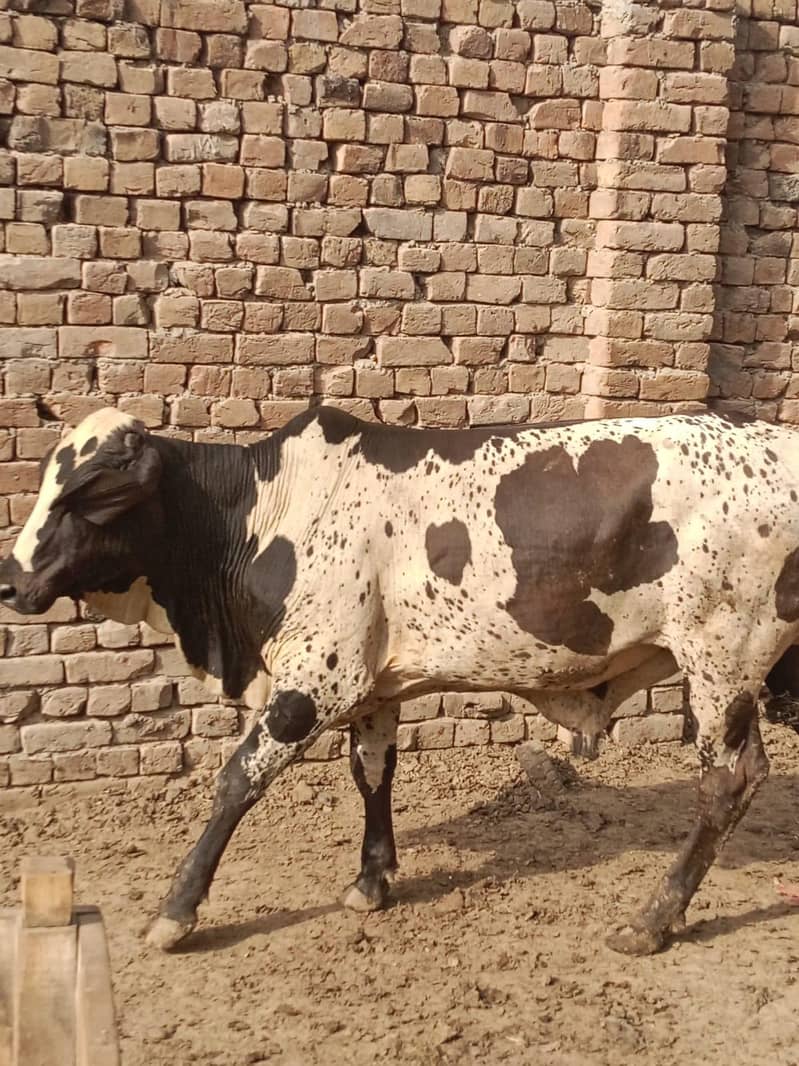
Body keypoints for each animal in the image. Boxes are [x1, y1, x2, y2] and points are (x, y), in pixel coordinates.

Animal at [1, 404, 798, 957]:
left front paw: (176, 912)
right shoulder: (372, 688)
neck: (261, 516)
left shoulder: (313, 681)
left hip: (721, 655)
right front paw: (371, 881)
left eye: (89, 494)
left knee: (725, 782)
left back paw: (653, 919)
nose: (10, 582)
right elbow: (372, 773)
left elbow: (236, 783)